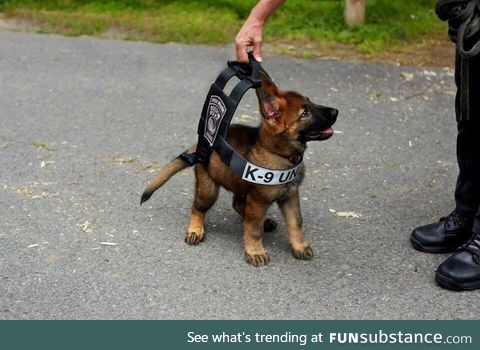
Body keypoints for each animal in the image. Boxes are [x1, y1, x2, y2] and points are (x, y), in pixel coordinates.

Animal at [142, 73, 338, 266]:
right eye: (305, 113)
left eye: (310, 102)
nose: (336, 111)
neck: (279, 154)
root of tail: (199, 147)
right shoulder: (258, 201)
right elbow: (253, 229)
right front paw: (255, 251)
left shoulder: (290, 196)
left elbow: (296, 223)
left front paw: (300, 246)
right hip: (208, 190)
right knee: (198, 208)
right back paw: (195, 230)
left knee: (238, 205)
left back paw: (263, 222)